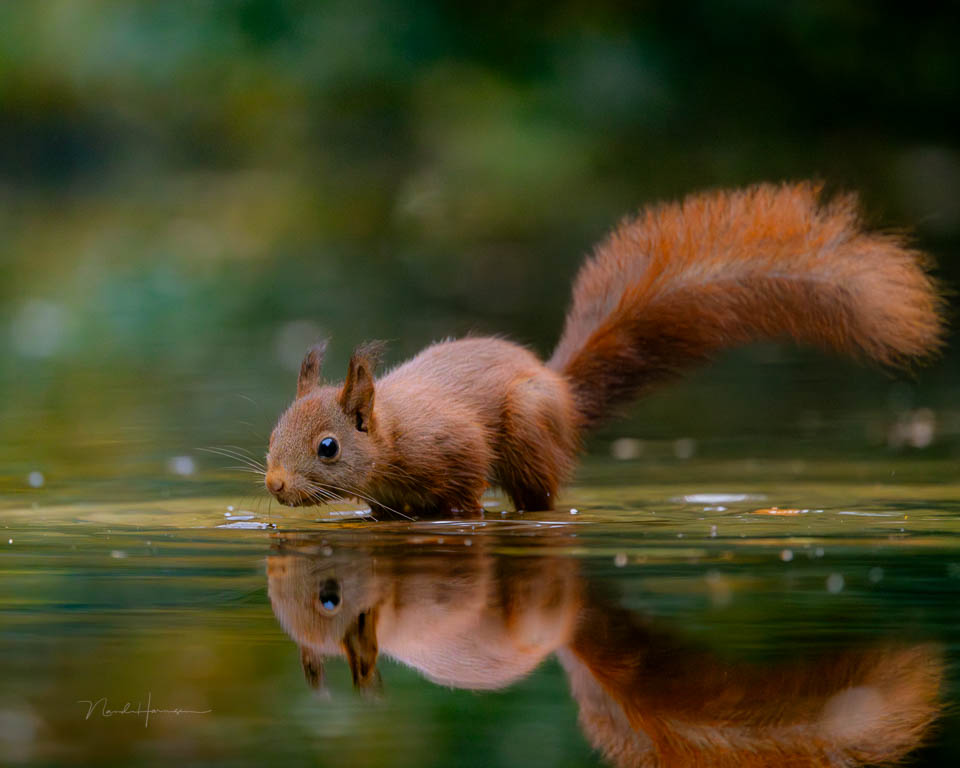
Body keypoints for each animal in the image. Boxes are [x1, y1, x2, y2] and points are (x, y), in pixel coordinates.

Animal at [266, 182, 940, 512]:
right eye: (272, 432)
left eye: (328, 447)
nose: (273, 484)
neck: (394, 433)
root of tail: (562, 389)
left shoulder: (454, 455)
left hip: (531, 432)